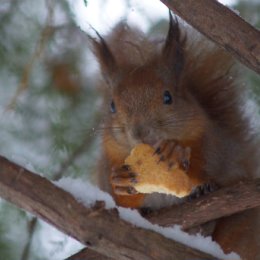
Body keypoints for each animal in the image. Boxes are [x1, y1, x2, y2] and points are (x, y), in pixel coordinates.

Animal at [90, 11, 258, 258]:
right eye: (112, 106)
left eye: (168, 97)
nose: (140, 132)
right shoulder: (108, 161)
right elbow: (119, 201)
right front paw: (118, 180)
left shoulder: (212, 145)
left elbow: (203, 164)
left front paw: (175, 152)